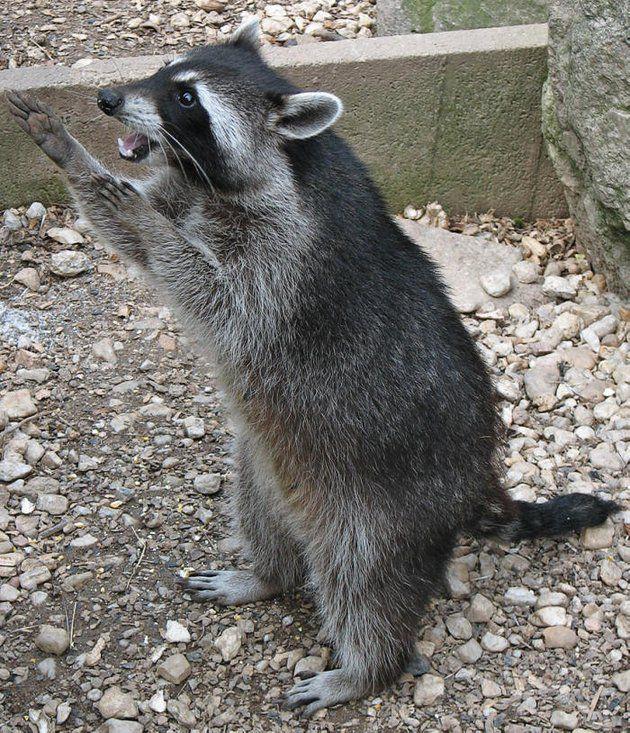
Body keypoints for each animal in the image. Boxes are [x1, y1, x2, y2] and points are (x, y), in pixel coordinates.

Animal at [6, 20, 624, 716]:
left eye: (187, 99)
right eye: (164, 72)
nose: (108, 99)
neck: (281, 162)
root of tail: (475, 475)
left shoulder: (281, 262)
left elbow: (205, 287)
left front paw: (97, 176)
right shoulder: (192, 189)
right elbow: (153, 223)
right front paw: (87, 162)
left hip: (386, 504)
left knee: (367, 583)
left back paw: (364, 669)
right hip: (278, 463)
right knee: (263, 509)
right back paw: (266, 575)